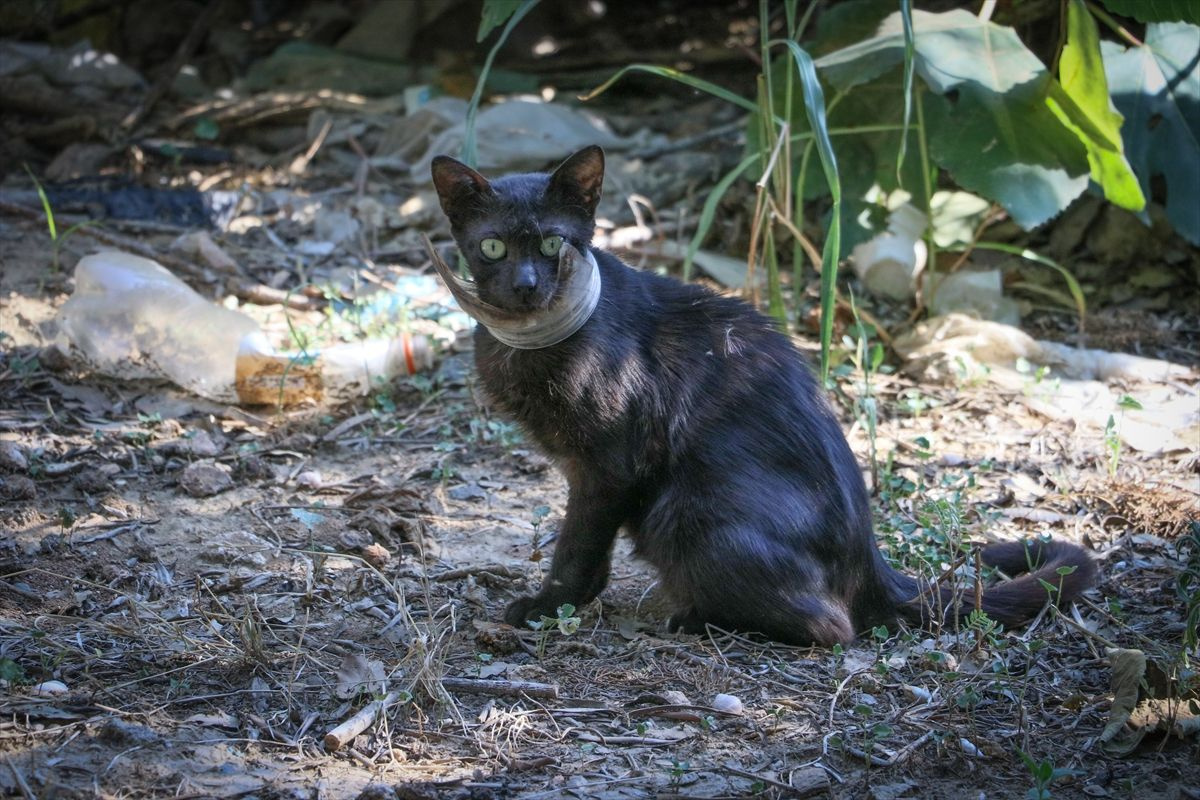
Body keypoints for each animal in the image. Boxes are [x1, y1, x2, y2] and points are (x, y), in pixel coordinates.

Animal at [432, 145, 1099, 642]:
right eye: (492, 247)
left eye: (553, 244)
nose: (525, 285)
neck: (530, 345)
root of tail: (873, 565)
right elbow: (588, 551)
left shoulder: (608, 466)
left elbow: (577, 544)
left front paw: (549, 606)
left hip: (684, 514)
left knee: (833, 627)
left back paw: (698, 620)